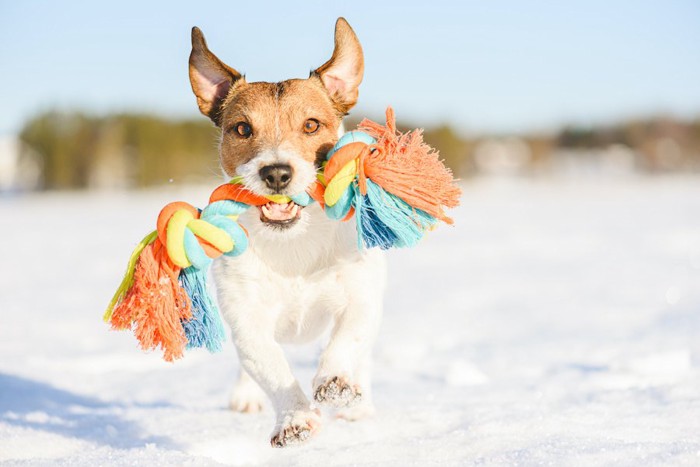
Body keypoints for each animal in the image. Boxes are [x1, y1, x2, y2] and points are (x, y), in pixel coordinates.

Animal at [189, 19, 386, 450]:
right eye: (242, 128)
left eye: (311, 125)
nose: (276, 172)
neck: (292, 242)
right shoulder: (248, 320)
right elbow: (272, 369)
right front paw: (295, 419)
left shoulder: (359, 292)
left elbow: (349, 338)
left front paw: (337, 380)